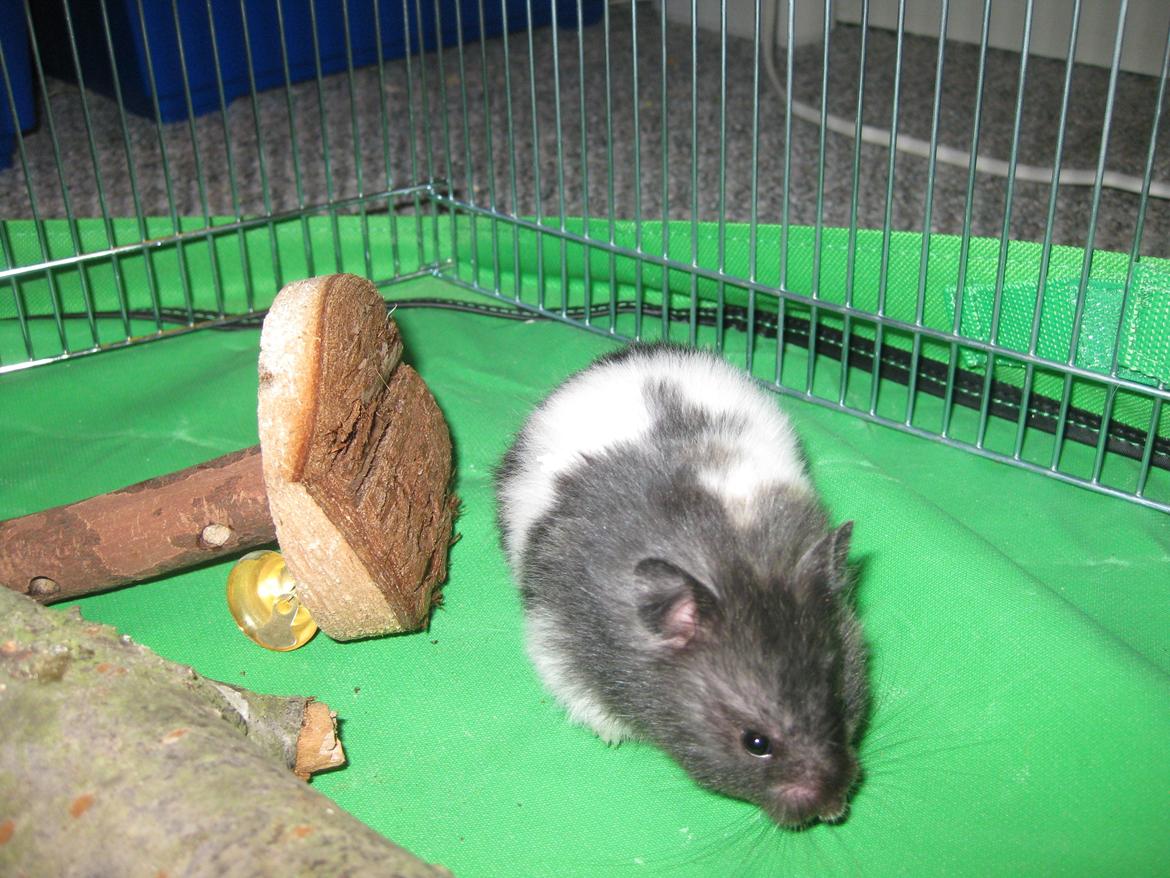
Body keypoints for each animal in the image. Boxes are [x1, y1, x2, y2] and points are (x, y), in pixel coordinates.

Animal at [495, 343, 867, 827]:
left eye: (838, 700)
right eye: (756, 743)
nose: (836, 810)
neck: (730, 562)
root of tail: (625, 354)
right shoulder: (556, 637)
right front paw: (612, 734)